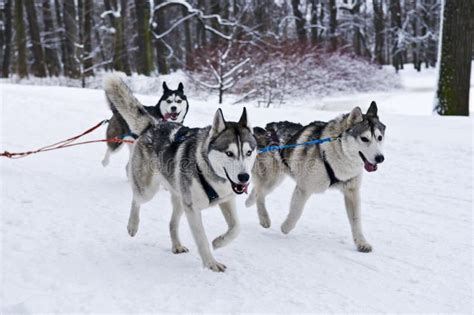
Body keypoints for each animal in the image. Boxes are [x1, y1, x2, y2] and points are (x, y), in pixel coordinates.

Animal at [103, 75, 258, 272]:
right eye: (229, 153)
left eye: (248, 152)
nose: (244, 177)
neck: (208, 171)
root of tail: (153, 126)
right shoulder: (193, 209)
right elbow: (202, 239)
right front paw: (211, 263)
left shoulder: (226, 200)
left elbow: (236, 228)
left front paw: (218, 242)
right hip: (148, 191)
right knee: (136, 200)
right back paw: (132, 225)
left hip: (178, 198)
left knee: (172, 224)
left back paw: (176, 245)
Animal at [248, 102, 386, 253]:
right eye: (364, 138)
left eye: (379, 138)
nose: (380, 158)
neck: (337, 152)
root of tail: (266, 130)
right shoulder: (304, 188)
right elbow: (296, 212)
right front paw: (285, 227)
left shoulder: (351, 192)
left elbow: (356, 220)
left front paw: (361, 243)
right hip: (271, 179)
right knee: (260, 193)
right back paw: (264, 219)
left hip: (276, 179)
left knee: (257, 190)